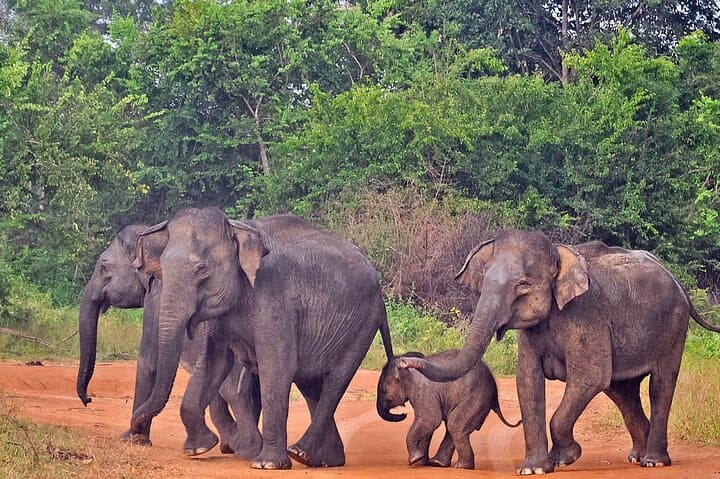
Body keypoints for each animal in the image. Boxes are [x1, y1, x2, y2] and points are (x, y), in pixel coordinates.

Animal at [75, 224, 262, 458]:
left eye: (103, 266)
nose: (88, 400)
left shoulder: (156, 298)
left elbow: (148, 363)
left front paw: (133, 439)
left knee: (233, 392)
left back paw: (243, 448)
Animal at [129, 208, 395, 469]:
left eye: (202, 269)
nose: (133, 432)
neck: (237, 227)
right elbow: (214, 364)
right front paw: (198, 449)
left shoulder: (274, 297)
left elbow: (276, 367)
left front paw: (266, 464)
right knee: (311, 384)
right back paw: (322, 460)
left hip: (361, 325)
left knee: (334, 382)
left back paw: (301, 453)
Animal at [377, 350, 520, 469]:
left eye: (384, 391)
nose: (403, 414)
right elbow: (427, 424)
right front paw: (420, 462)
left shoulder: (423, 390)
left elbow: (430, 420)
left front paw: (414, 460)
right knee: (453, 426)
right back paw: (438, 463)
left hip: (475, 398)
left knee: (455, 425)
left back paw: (461, 467)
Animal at [400, 230, 720, 475]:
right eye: (484, 282)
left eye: (523, 285)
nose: (404, 362)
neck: (558, 252)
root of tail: (678, 281)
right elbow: (527, 381)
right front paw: (533, 469)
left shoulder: (586, 315)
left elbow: (590, 377)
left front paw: (564, 458)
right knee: (622, 392)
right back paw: (636, 457)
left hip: (673, 325)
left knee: (659, 384)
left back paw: (653, 462)